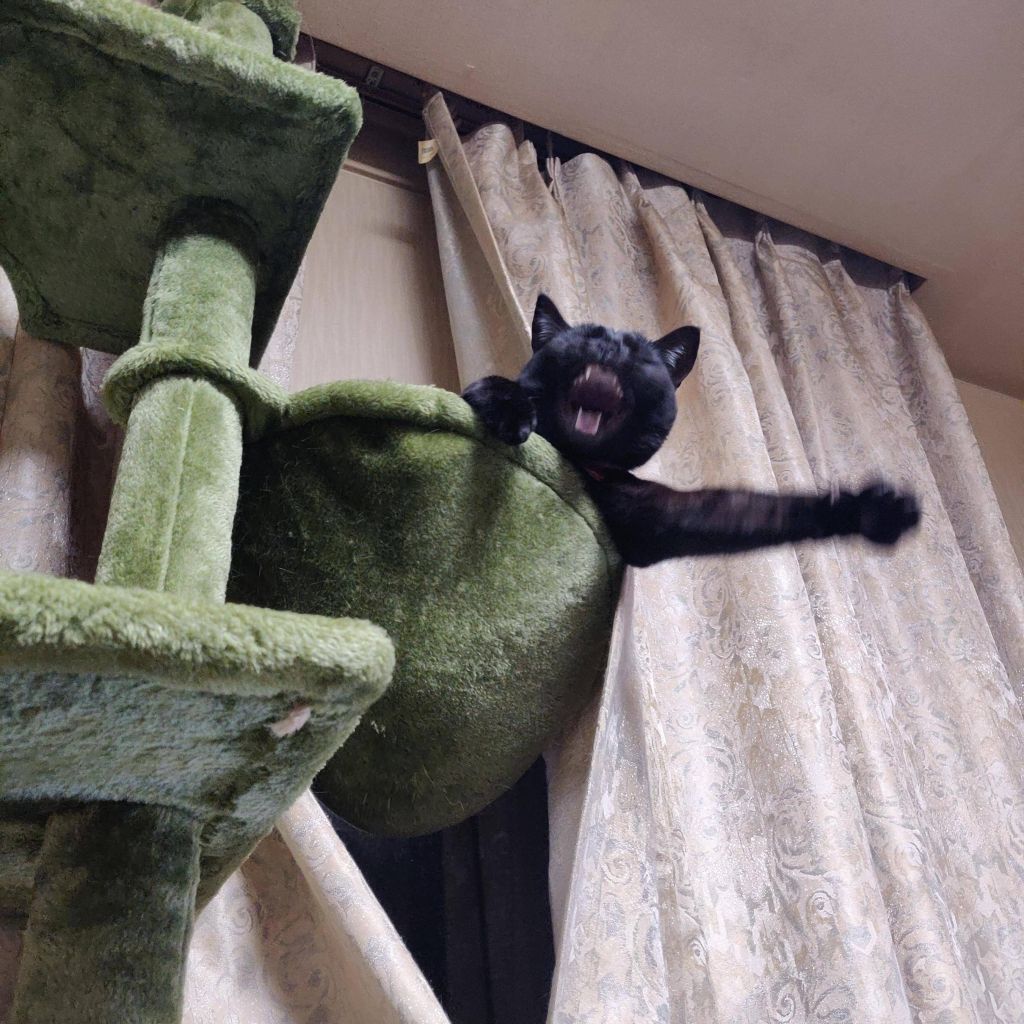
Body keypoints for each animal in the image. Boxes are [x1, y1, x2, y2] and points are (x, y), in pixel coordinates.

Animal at [462, 294, 920, 567]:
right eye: (584, 338)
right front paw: (511, 411)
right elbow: (491, 387)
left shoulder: (658, 519)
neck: (579, 465)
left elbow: (762, 509)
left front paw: (876, 510)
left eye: (637, 353)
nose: (608, 348)